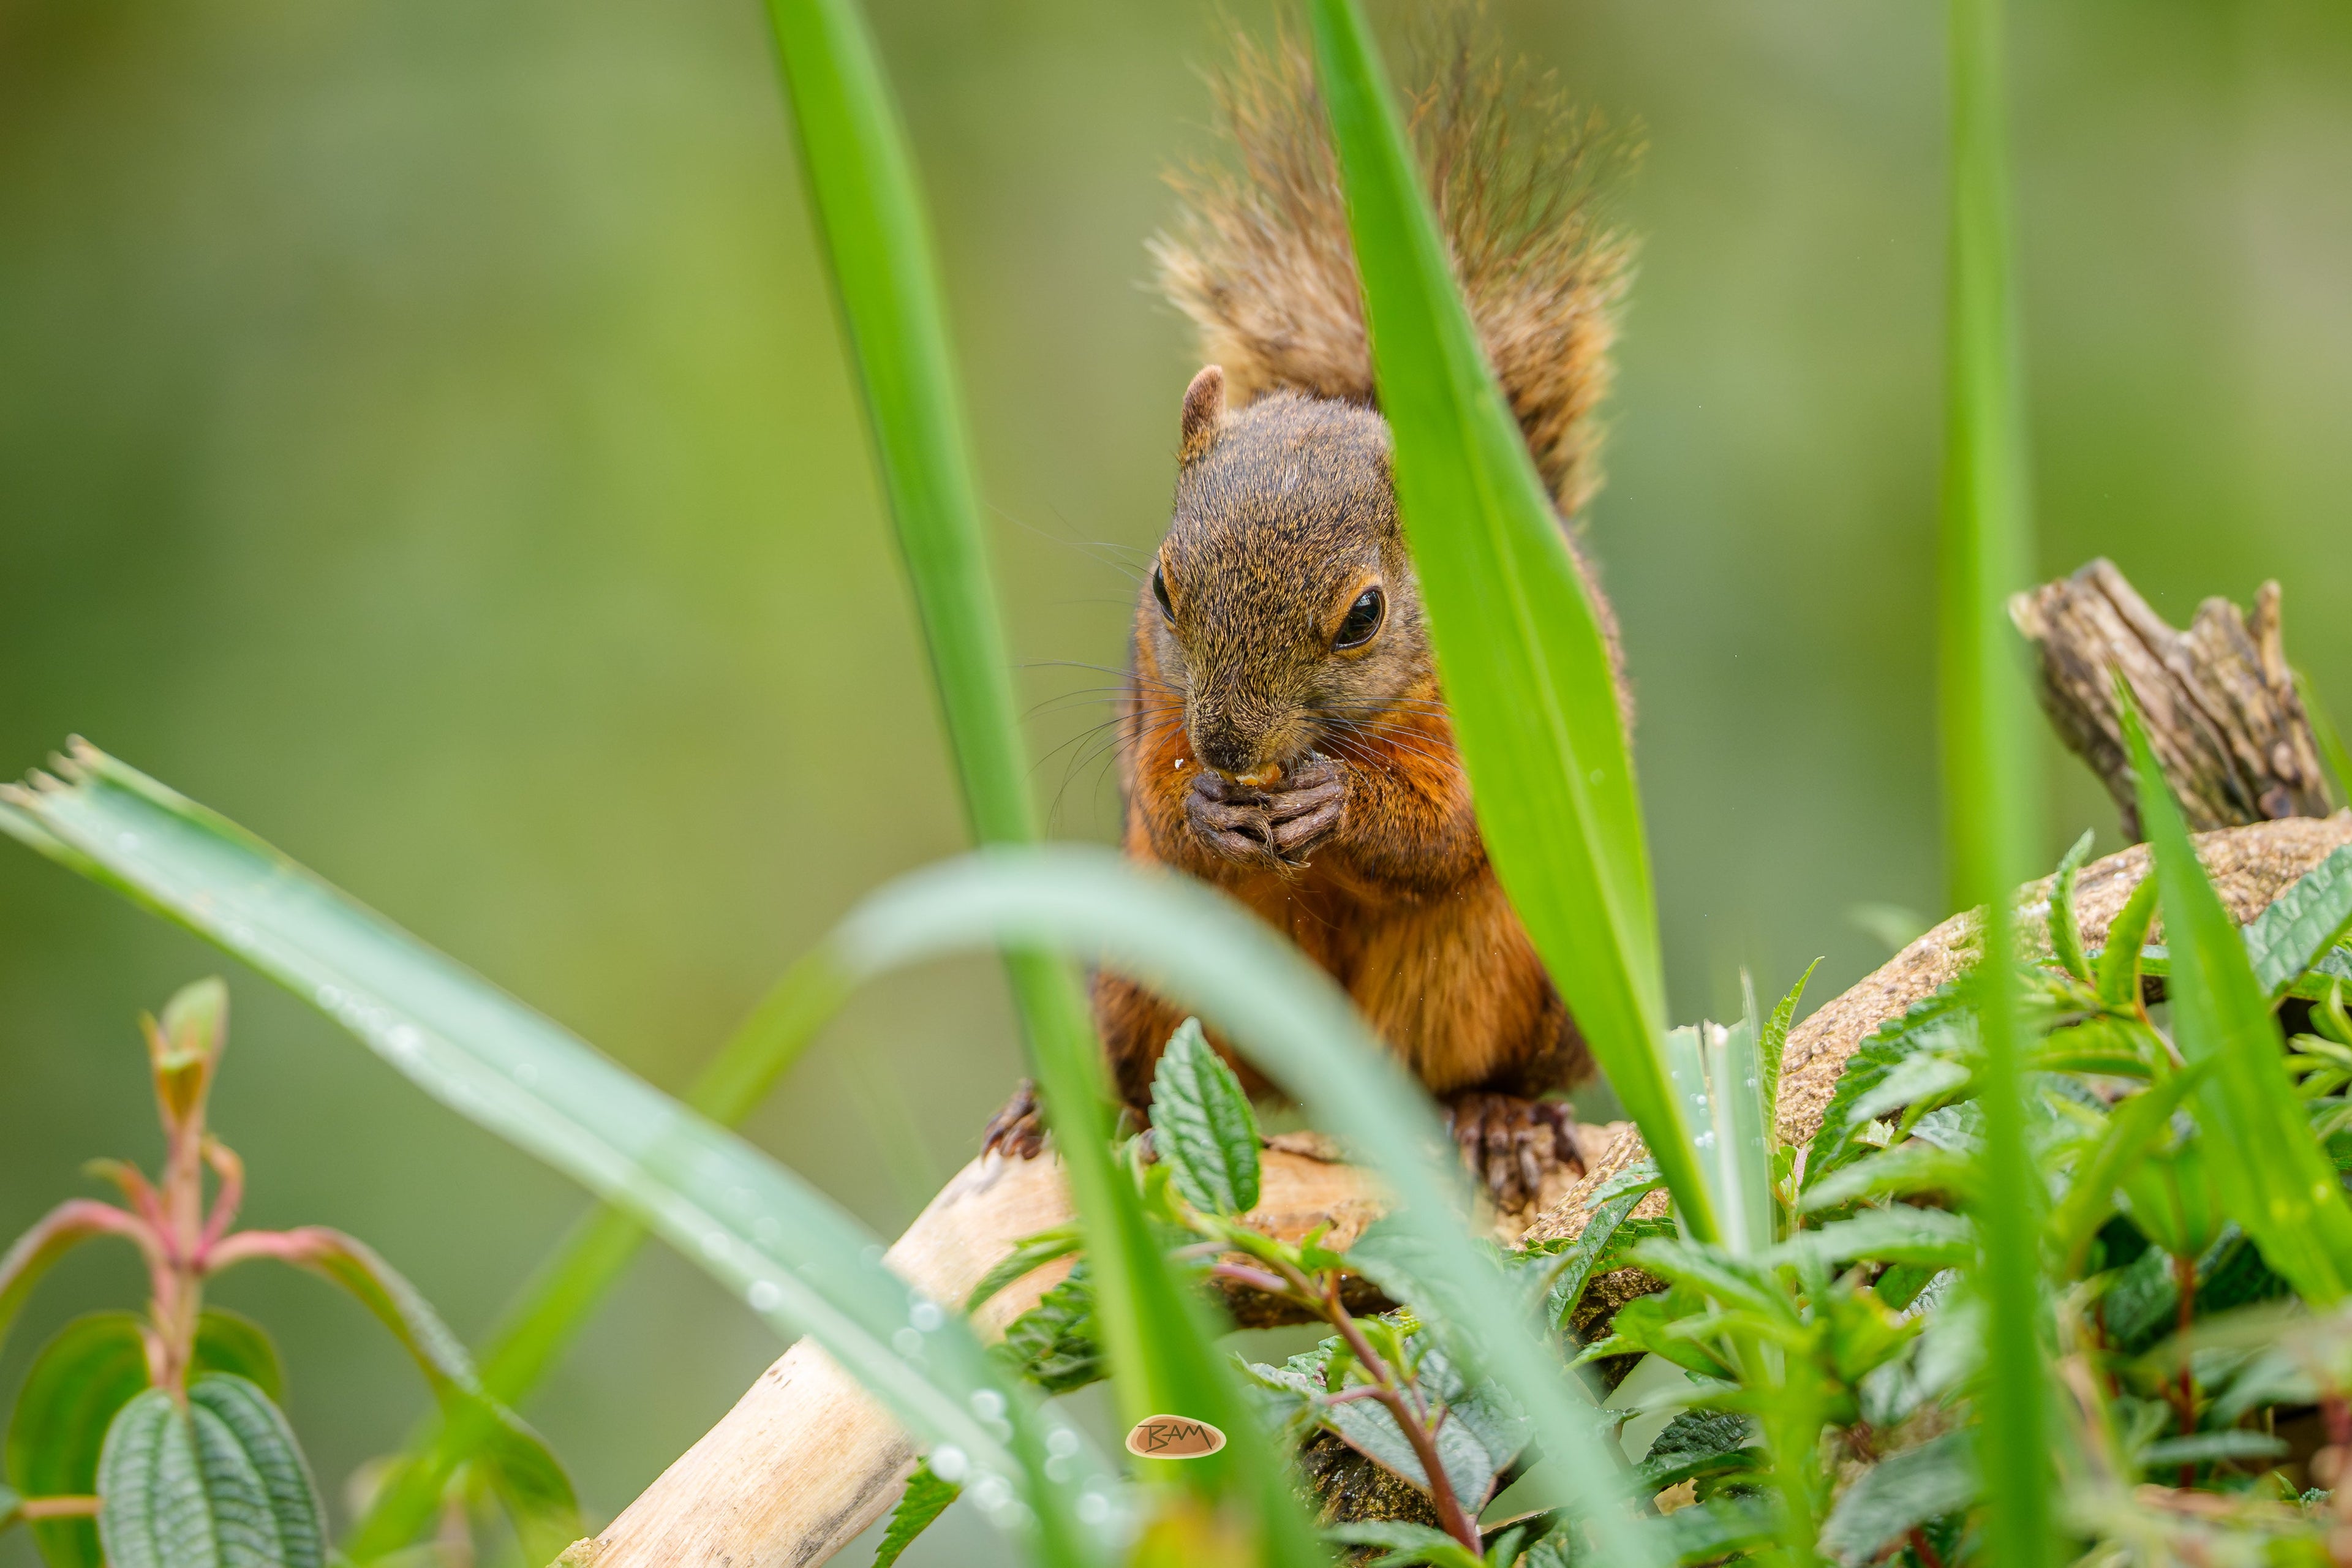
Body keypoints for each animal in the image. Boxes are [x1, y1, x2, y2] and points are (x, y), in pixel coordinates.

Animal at [986, 26, 1636, 1211]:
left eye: (1364, 615)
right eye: (1162, 586)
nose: (1230, 750)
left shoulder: (1510, 716)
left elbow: (1450, 824)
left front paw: (1339, 802)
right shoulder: (1151, 697)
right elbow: (1156, 794)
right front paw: (1205, 805)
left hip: (1519, 972)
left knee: (1477, 1064)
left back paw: (1500, 1118)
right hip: (1148, 965)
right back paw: (1066, 1107)